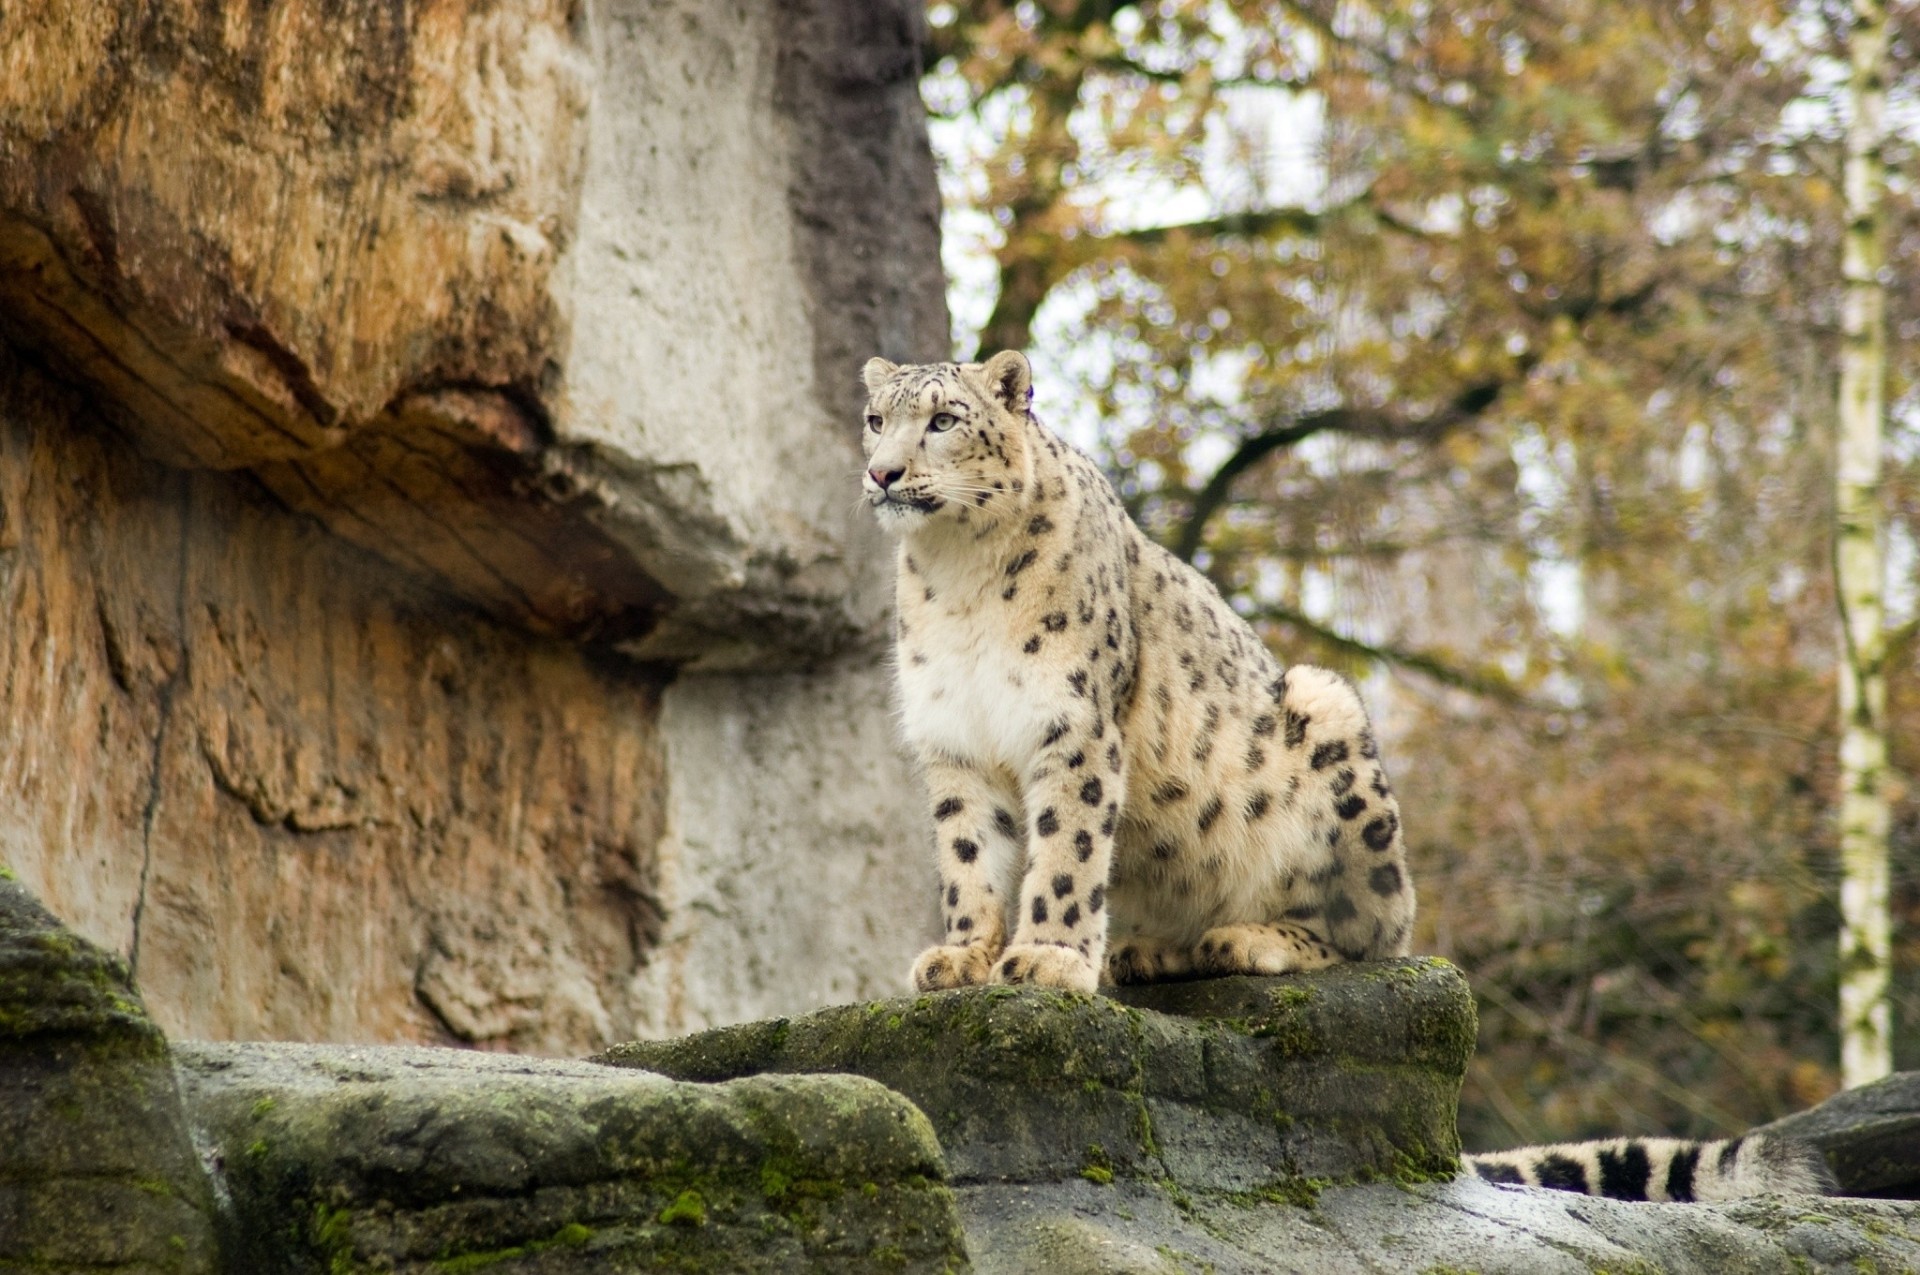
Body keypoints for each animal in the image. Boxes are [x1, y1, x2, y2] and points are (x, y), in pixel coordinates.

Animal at [858, 349, 1835, 1202]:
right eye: (876, 419)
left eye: (943, 419)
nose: (883, 473)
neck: (957, 576)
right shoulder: (954, 741)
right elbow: (970, 855)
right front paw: (962, 954)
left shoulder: (1075, 726)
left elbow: (1066, 847)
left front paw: (1050, 957)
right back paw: (1155, 949)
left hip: (1331, 729)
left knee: (1376, 934)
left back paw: (1248, 939)